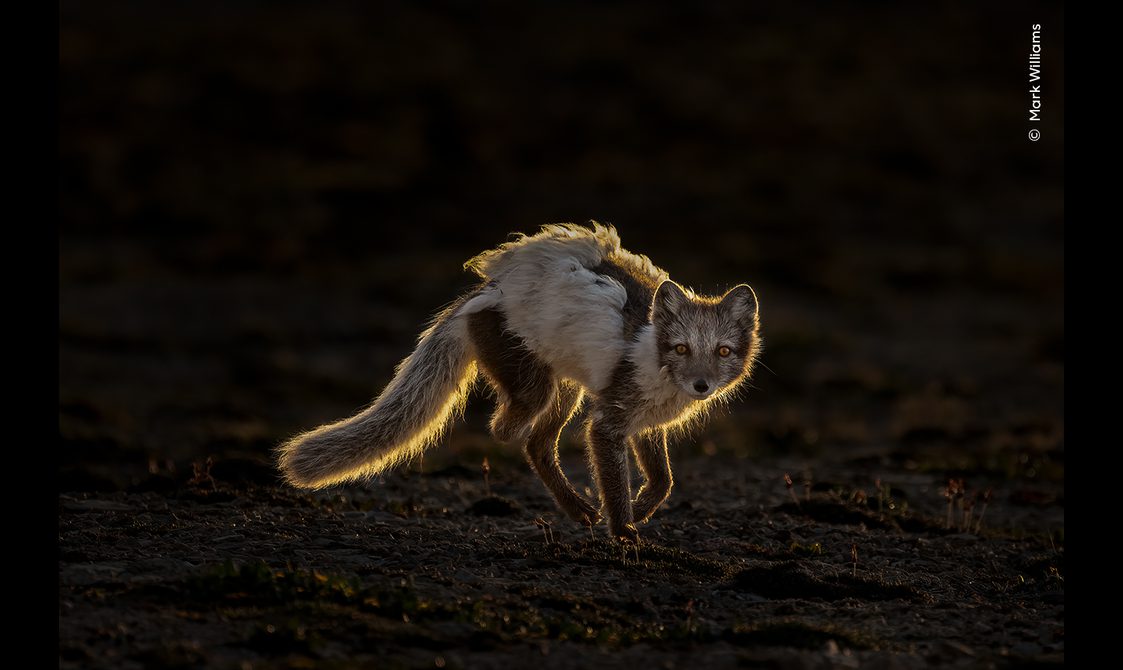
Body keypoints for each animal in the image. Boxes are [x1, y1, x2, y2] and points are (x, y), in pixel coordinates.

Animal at [277, 223, 761, 543]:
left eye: (722, 352)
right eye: (681, 348)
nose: (701, 386)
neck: (654, 360)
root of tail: (489, 290)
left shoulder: (644, 423)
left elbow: (663, 481)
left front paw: (639, 509)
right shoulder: (607, 423)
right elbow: (615, 479)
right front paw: (623, 531)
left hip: (564, 390)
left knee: (536, 444)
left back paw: (577, 509)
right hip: (539, 388)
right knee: (508, 429)